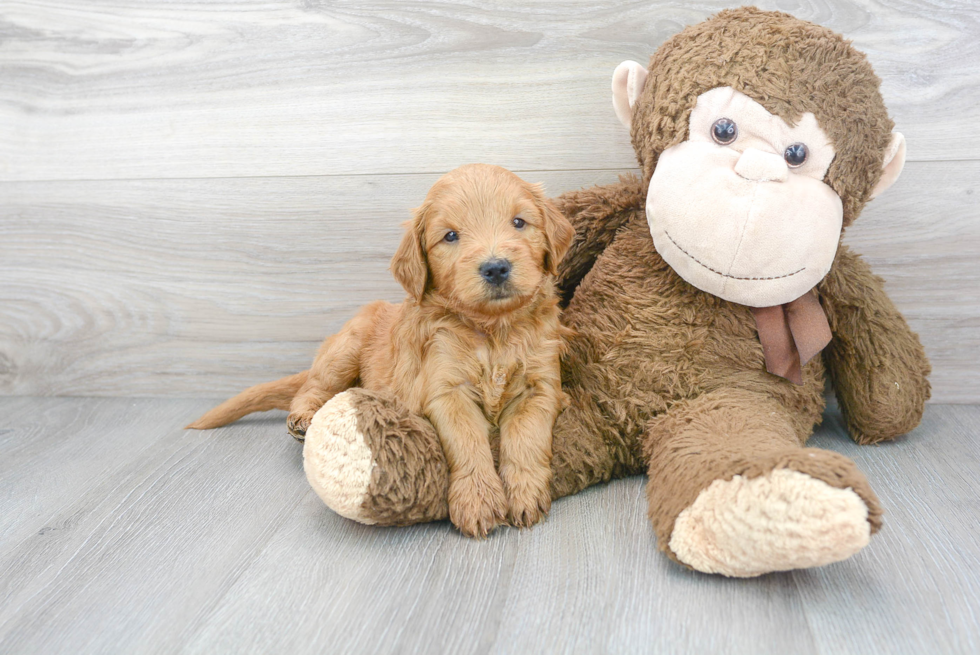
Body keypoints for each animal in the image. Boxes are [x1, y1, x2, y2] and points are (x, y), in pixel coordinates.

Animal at [188, 164, 576, 540]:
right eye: (450, 236)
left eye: (519, 222)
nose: (495, 267)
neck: (493, 330)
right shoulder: (446, 391)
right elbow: (467, 444)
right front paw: (478, 499)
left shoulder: (540, 386)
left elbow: (526, 438)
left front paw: (525, 492)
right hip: (345, 348)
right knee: (312, 386)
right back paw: (302, 417)